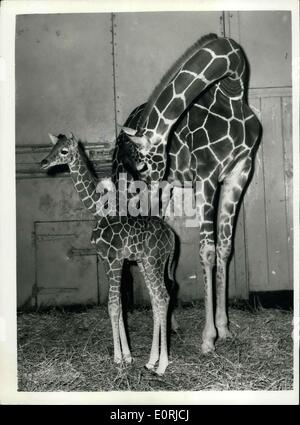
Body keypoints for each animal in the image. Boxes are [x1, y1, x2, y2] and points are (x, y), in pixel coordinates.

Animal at [41, 133, 175, 374]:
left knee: (163, 297)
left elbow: (113, 306)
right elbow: (119, 304)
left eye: (64, 151)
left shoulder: (115, 259)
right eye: (52, 147)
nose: (44, 162)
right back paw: (152, 361)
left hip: (154, 261)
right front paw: (128, 356)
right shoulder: (106, 259)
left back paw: (162, 365)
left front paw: (118, 358)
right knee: (156, 300)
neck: (99, 211)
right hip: (147, 263)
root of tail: (171, 236)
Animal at [116, 32, 260, 352]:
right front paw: (208, 338)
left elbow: (225, 248)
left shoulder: (239, 173)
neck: (232, 92)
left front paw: (224, 328)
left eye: (142, 164)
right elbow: (207, 251)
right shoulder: (207, 175)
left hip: (166, 191)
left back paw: (169, 322)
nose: (144, 183)